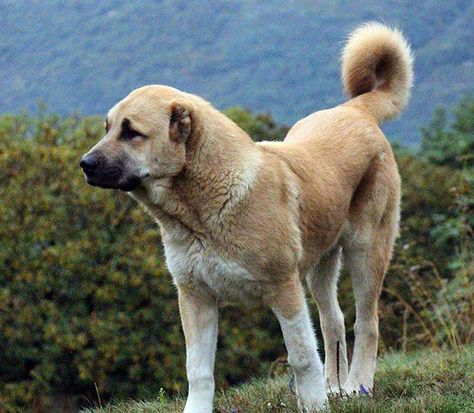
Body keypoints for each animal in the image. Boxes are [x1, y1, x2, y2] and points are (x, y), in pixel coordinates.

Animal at [80, 22, 412, 412]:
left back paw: (359, 386)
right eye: (108, 128)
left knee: (366, 323)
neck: (199, 215)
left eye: (132, 132)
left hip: (366, 250)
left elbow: (302, 356)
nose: (84, 163)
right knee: (333, 321)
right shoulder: (195, 297)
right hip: (320, 265)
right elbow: (198, 370)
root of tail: (356, 110)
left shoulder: (284, 289)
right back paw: (337, 388)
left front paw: (314, 404)